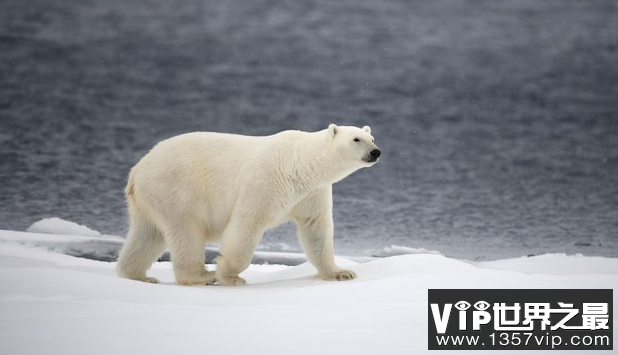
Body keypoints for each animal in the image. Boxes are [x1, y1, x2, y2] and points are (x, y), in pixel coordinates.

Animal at [113, 125, 378, 286]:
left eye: (372, 138)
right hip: (176, 189)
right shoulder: (266, 182)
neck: (301, 163)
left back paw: (138, 276)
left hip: (150, 199)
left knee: (147, 234)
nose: (376, 152)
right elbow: (248, 222)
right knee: (186, 230)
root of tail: (137, 171)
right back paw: (202, 275)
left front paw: (341, 272)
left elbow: (316, 228)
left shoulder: (311, 193)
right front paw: (228, 274)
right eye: (356, 139)